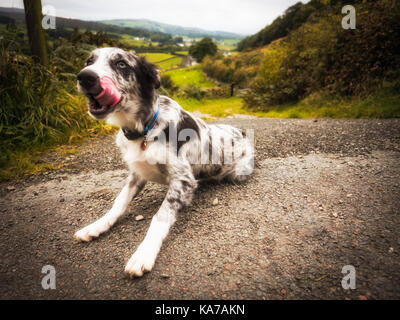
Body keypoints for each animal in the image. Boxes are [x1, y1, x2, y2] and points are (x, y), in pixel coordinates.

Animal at [75, 47, 253, 278]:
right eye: (89, 61)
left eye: (122, 64)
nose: (85, 76)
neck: (144, 129)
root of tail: (241, 131)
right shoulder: (136, 175)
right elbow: (119, 202)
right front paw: (96, 226)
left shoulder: (183, 180)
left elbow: (160, 217)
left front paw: (143, 254)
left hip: (239, 173)